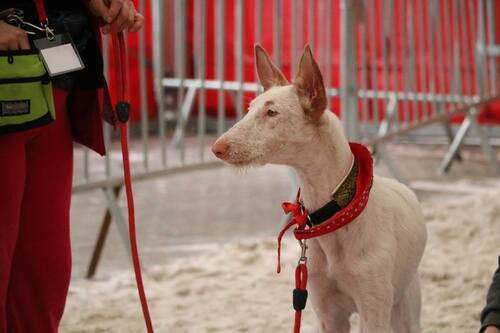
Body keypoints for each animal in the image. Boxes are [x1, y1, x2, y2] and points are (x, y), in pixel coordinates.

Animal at [211, 44, 426, 332]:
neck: (337, 213)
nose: (217, 148)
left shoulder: (373, 309)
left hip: (404, 305)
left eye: (271, 112)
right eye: (249, 109)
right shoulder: (327, 311)